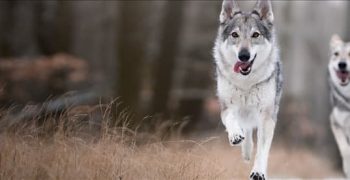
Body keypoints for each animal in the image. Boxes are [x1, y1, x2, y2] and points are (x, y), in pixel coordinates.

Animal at [212, 0, 284, 179]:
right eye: (235, 35)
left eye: (255, 35)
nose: (244, 56)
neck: (246, 82)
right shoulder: (226, 108)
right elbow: (232, 120)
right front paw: (236, 136)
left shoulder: (266, 117)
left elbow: (262, 150)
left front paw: (258, 171)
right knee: (246, 128)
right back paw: (245, 149)